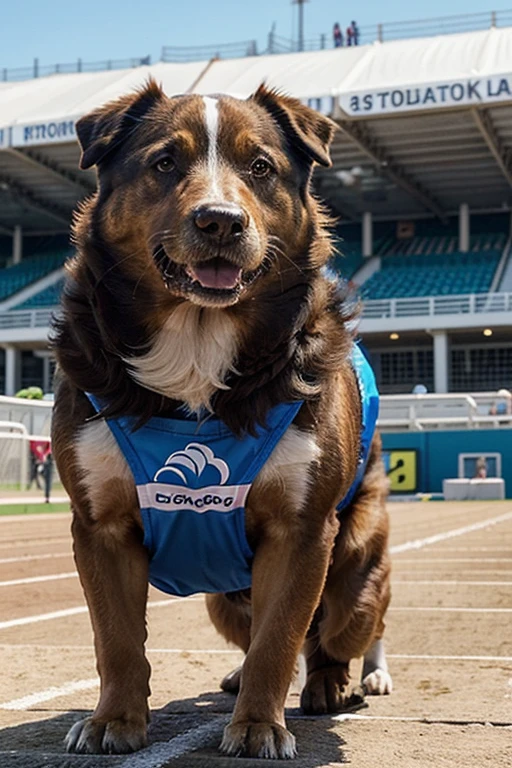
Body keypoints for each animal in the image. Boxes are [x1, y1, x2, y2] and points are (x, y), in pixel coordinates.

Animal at [52, 81, 390, 760]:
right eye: (164, 163)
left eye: (260, 167)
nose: (220, 220)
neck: (197, 343)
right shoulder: (100, 526)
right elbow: (117, 640)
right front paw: (113, 719)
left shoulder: (301, 529)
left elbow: (279, 639)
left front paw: (260, 724)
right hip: (220, 600)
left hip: (357, 553)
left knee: (341, 629)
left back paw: (341, 679)